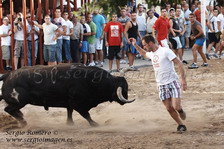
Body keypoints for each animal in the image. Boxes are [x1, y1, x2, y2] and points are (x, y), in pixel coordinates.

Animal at [0, 63, 135, 127]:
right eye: (124, 89)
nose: (125, 99)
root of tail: (8, 75)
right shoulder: (79, 105)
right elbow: (86, 115)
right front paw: (94, 124)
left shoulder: (70, 103)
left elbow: (69, 112)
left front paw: (70, 124)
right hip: (21, 101)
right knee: (8, 109)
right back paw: (23, 122)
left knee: (12, 110)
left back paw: (22, 118)